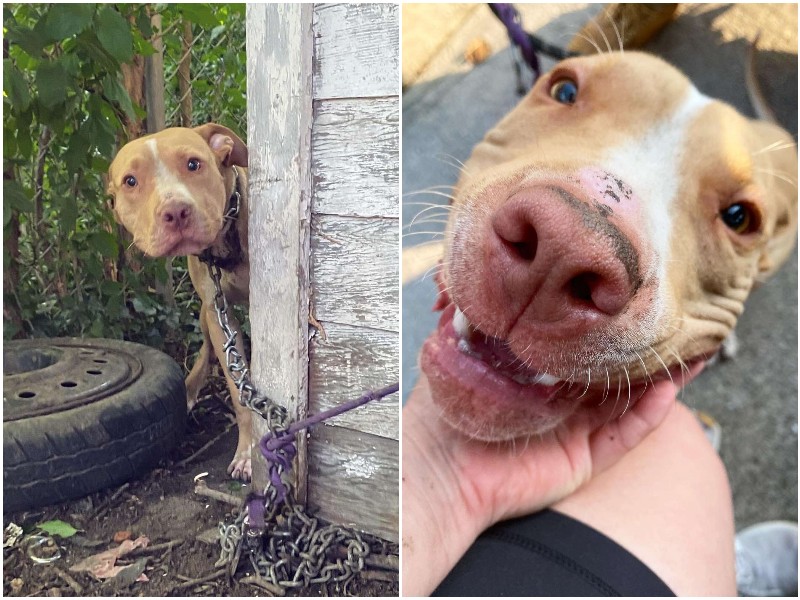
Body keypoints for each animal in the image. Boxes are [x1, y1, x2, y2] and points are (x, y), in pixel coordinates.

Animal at [104, 124, 252, 480]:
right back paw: (189, 388)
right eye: (131, 181)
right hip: (205, 315)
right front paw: (249, 451)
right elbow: (239, 390)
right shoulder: (217, 312)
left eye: (194, 164)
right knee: (207, 349)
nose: (175, 212)